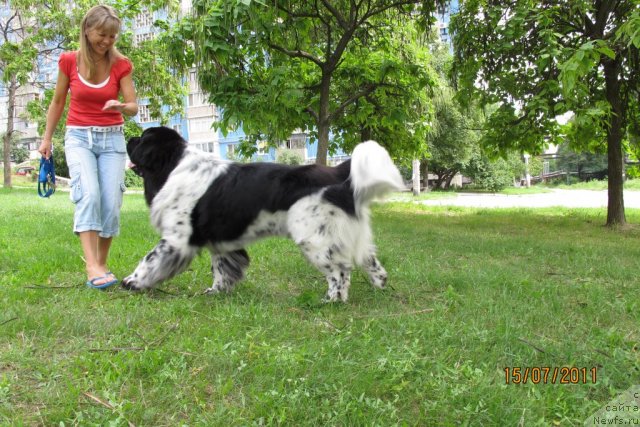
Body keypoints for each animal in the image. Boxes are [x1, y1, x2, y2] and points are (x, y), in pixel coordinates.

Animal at [124, 125, 402, 302]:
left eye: (142, 139)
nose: (128, 138)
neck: (174, 165)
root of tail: (337, 174)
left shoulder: (176, 240)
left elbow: (150, 261)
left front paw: (132, 282)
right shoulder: (221, 243)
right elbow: (222, 269)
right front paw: (217, 292)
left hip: (316, 239)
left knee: (340, 270)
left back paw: (333, 300)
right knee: (370, 261)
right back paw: (380, 286)